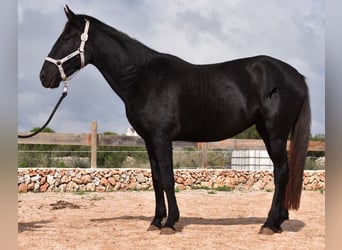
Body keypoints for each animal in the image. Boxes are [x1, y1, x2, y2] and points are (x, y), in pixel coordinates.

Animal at [39, 6, 310, 234]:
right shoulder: (149, 140)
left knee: (281, 172)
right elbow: (157, 179)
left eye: (67, 38)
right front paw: (156, 220)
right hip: (267, 132)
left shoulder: (162, 138)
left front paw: (169, 223)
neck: (144, 78)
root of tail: (296, 75)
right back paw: (279, 220)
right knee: (282, 171)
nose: (44, 76)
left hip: (275, 133)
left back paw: (269, 223)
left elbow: (169, 179)